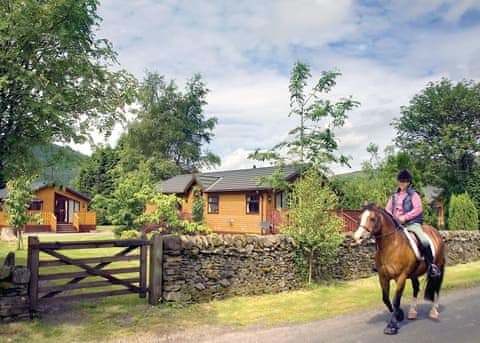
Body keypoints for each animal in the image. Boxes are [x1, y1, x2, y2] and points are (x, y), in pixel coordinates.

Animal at [352, 204, 446, 336]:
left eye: (372, 218)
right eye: (360, 217)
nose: (358, 237)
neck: (391, 245)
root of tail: (435, 231)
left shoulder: (401, 277)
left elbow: (396, 300)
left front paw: (392, 326)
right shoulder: (383, 277)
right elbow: (386, 299)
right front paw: (399, 315)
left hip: (438, 267)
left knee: (436, 288)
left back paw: (434, 311)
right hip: (413, 274)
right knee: (416, 288)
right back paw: (412, 312)